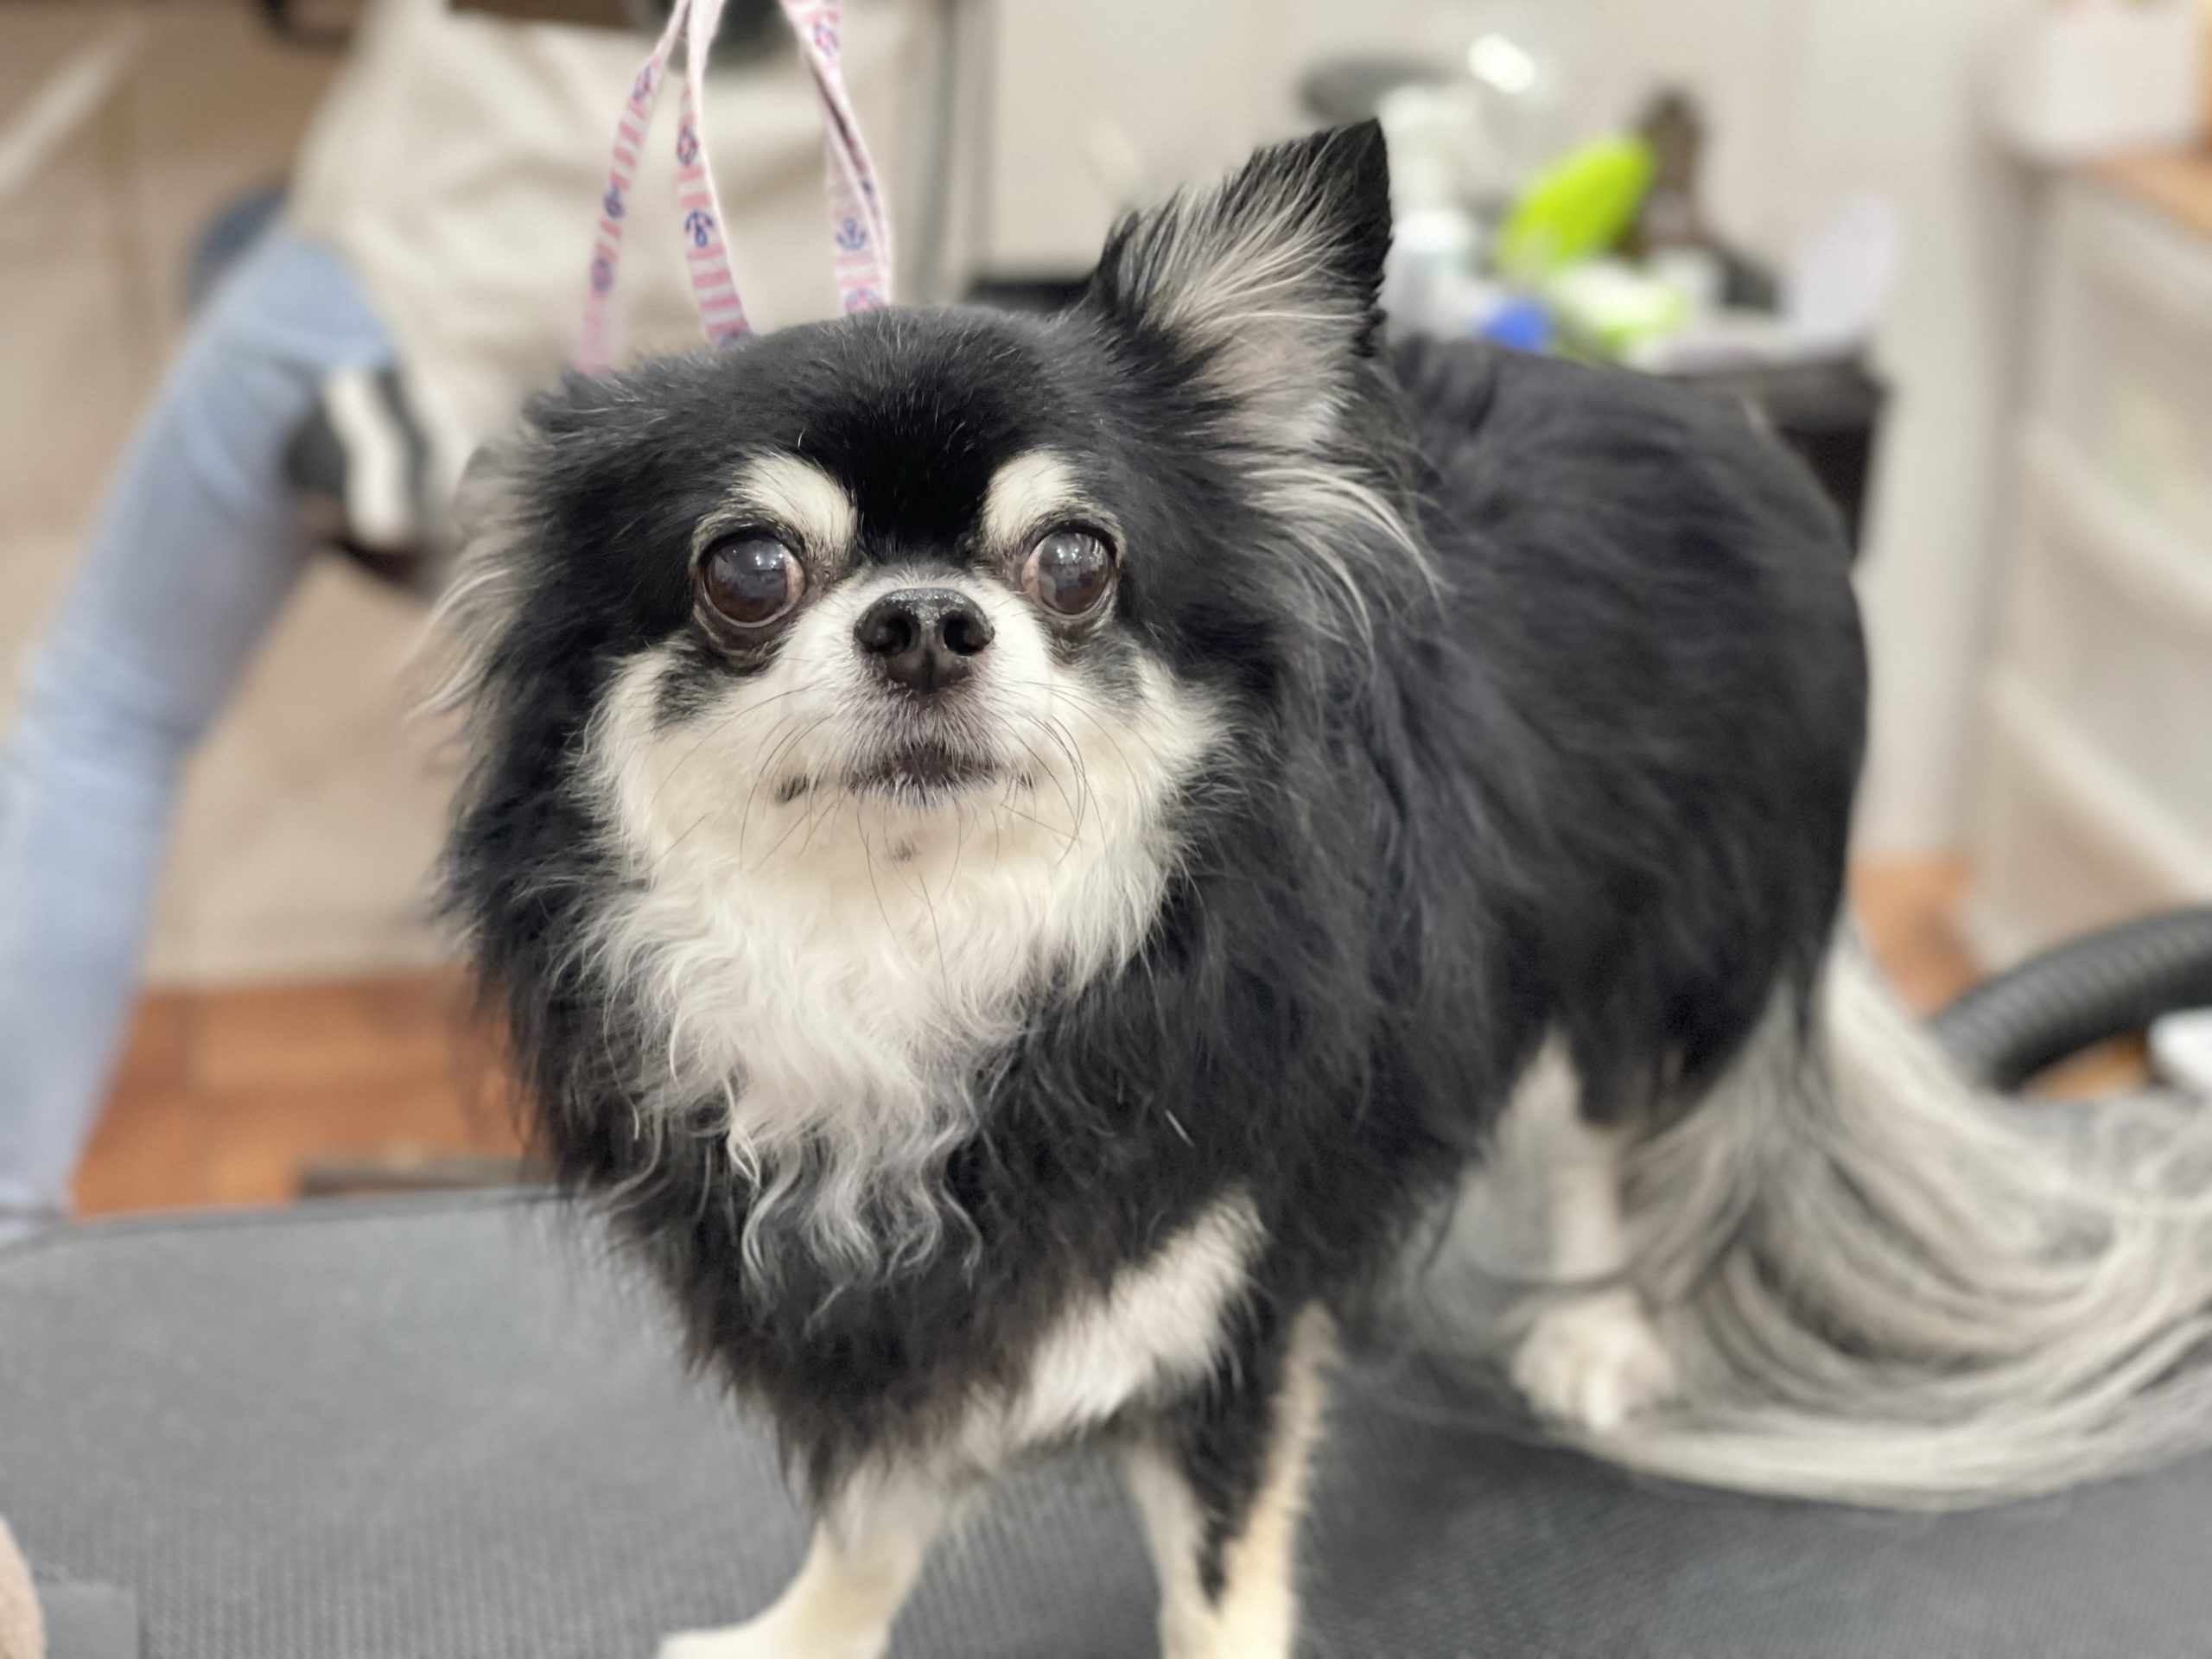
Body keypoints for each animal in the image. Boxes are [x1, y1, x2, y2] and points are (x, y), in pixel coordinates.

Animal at [438, 121, 2212, 1659]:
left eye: (1074, 559)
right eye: (747, 572)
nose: (929, 621)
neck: (909, 949)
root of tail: (1721, 424)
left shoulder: (1233, 1309)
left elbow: (1218, 1578)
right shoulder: (903, 1306)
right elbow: (876, 1516)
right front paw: (801, 1638)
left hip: (1660, 954)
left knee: (1610, 1137)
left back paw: (1597, 1330)